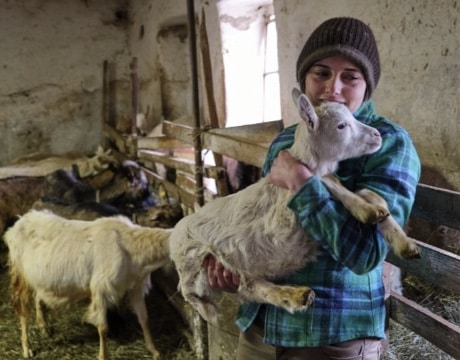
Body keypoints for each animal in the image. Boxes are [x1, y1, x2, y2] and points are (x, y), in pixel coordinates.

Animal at [3, 210, 172, 358]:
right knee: (23, 311)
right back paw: (27, 348)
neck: (131, 245)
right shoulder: (101, 288)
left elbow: (144, 319)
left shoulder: (136, 286)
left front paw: (154, 351)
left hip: (40, 278)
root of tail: (17, 223)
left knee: (38, 296)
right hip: (20, 274)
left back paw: (43, 328)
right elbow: (103, 328)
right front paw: (103, 356)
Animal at [170, 88, 420, 324]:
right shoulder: (286, 212)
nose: (377, 135)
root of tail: (174, 233)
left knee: (250, 285)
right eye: (341, 125)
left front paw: (403, 241)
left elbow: (369, 193)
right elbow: (329, 184)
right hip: (195, 266)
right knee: (201, 293)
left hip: (233, 266)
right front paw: (366, 211)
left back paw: (294, 297)